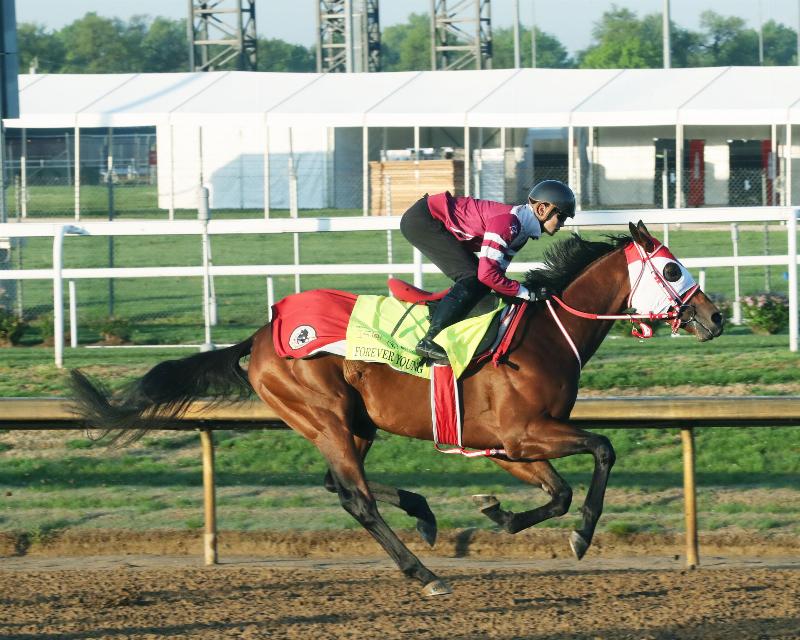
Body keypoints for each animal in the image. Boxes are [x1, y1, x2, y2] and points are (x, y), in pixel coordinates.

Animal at [70, 221, 723, 596]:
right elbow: (603, 450)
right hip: (325, 416)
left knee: (337, 484)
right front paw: (583, 536)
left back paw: (424, 513)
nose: (714, 316)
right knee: (355, 497)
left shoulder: (505, 445)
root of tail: (259, 337)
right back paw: (425, 575)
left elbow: (557, 492)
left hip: (351, 424)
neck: (544, 332)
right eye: (671, 268)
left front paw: (499, 514)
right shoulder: (525, 433)